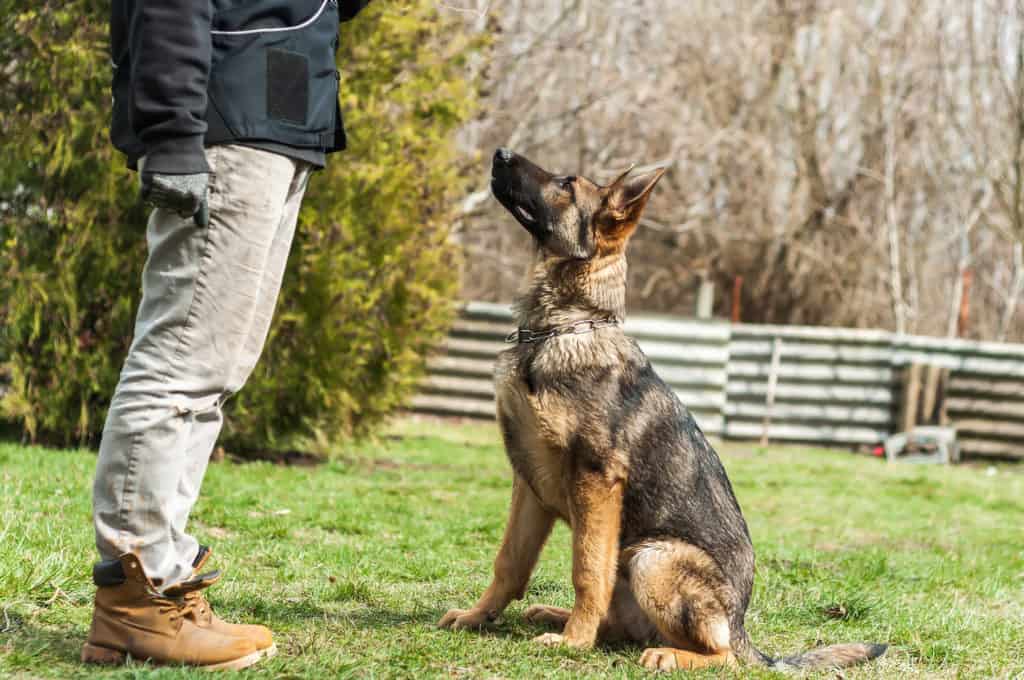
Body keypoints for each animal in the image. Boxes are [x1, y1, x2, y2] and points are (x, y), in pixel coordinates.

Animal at [436, 147, 884, 667]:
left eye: (567, 184)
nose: (500, 152)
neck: (561, 327)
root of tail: (744, 629)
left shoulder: (596, 479)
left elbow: (587, 568)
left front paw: (573, 642)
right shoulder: (528, 481)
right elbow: (509, 561)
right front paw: (477, 616)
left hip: (652, 556)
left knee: (721, 654)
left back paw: (660, 652)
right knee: (622, 626)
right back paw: (553, 615)